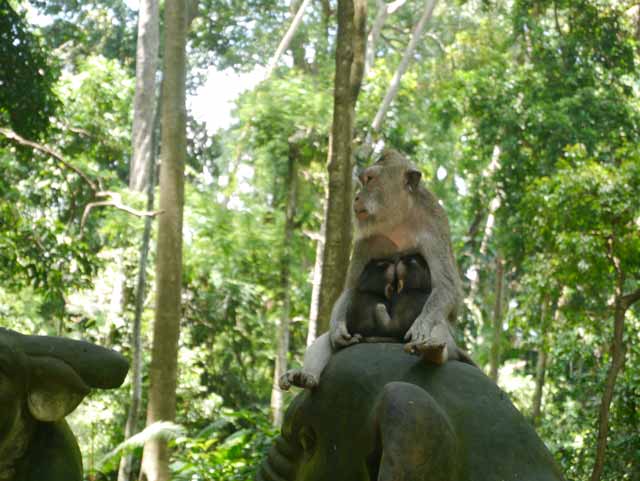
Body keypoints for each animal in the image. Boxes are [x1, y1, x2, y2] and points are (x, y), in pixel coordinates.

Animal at [280, 150, 464, 390]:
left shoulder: (435, 227)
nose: (357, 197)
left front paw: (422, 325)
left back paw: (432, 351)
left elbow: (446, 287)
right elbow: (350, 289)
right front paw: (338, 329)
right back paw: (306, 375)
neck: (399, 221)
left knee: (439, 326)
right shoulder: (366, 239)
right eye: (363, 180)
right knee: (326, 340)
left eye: (370, 179)